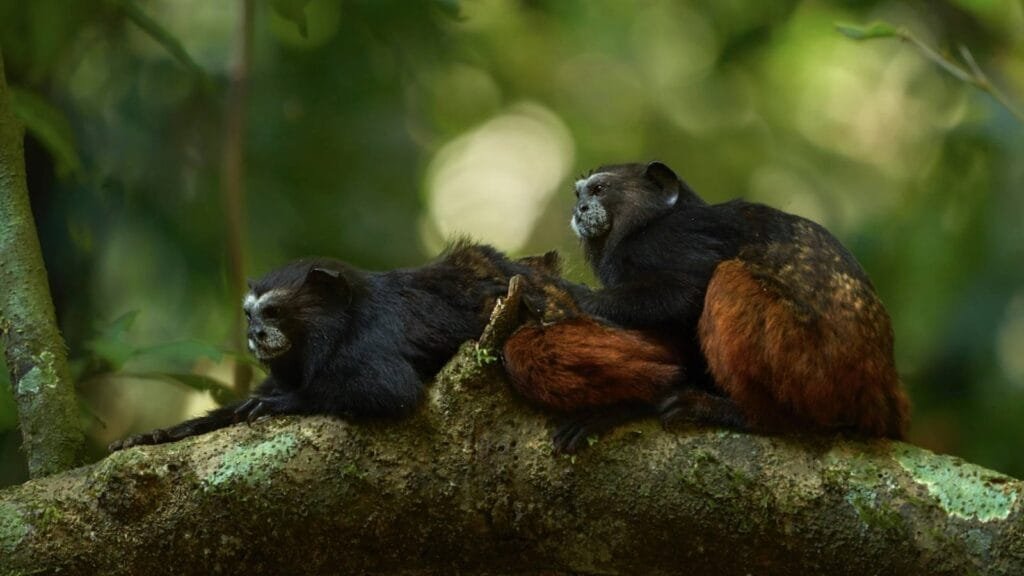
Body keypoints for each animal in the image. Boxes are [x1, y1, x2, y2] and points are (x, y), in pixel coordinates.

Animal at [109, 241, 557, 451]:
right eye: (250, 316)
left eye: (273, 313)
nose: (256, 335)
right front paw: (157, 436)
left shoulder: (371, 338)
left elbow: (390, 390)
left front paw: (280, 404)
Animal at [501, 161, 909, 453]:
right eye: (579, 194)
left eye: (599, 190)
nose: (581, 208)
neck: (646, 221)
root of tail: (880, 385)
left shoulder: (667, 240)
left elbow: (687, 292)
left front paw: (559, 291)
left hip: (814, 369)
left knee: (727, 279)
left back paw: (748, 415)